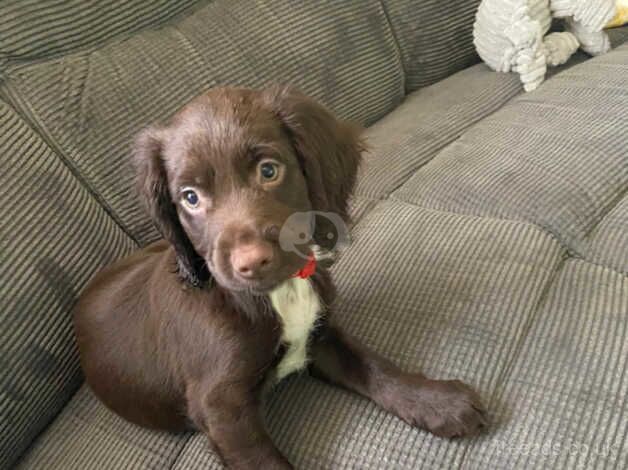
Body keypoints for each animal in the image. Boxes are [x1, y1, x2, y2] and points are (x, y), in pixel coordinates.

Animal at [72, 86, 486, 468]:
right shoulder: (221, 407)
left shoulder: (319, 333)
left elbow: (373, 365)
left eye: (268, 170)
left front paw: (436, 401)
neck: (276, 294)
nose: (252, 262)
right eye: (190, 197)